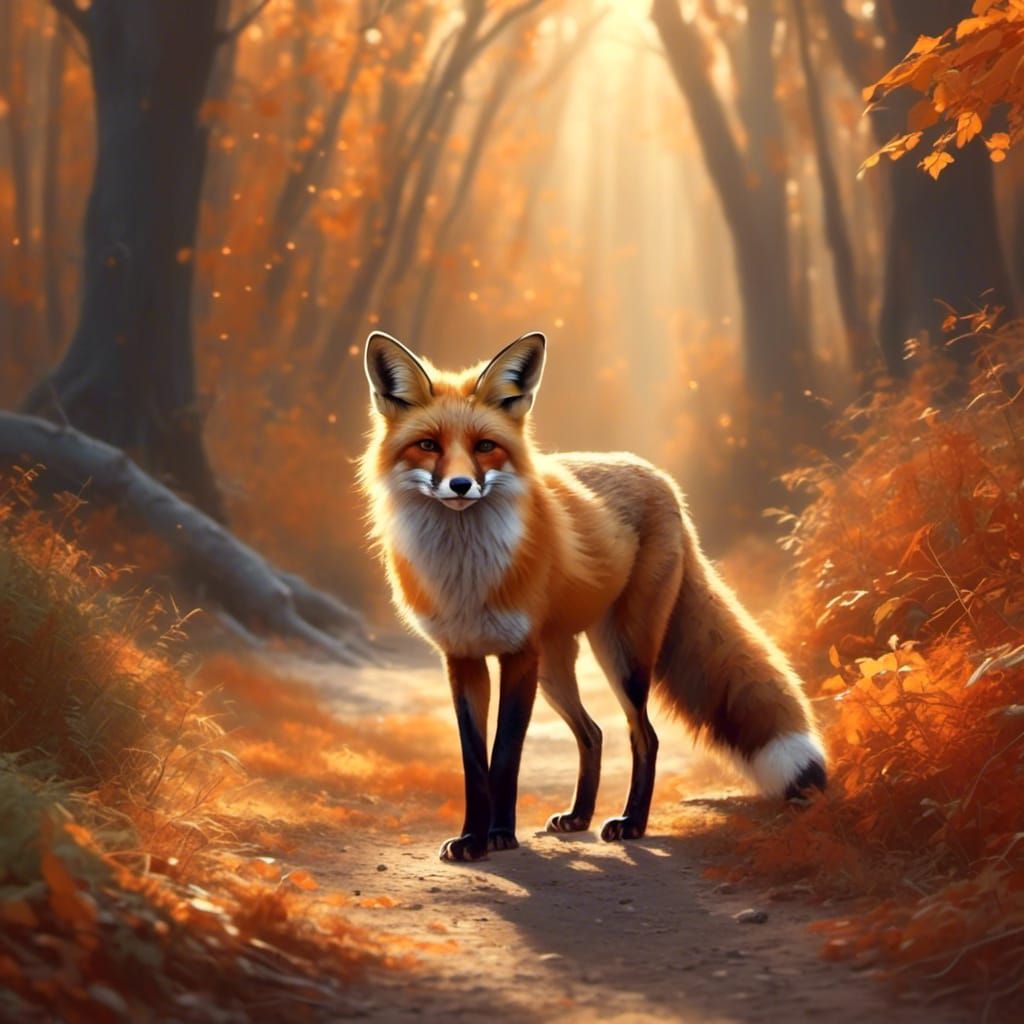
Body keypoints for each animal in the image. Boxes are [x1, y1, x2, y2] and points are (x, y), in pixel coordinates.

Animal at [360, 330, 826, 862]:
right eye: (427, 446)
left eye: (485, 447)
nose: (460, 485)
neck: (466, 574)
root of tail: (663, 481)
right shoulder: (462, 659)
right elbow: (474, 764)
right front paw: (472, 839)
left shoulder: (518, 656)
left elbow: (504, 757)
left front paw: (500, 836)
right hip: (556, 668)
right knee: (594, 733)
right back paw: (579, 816)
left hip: (621, 656)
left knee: (644, 736)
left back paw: (632, 823)